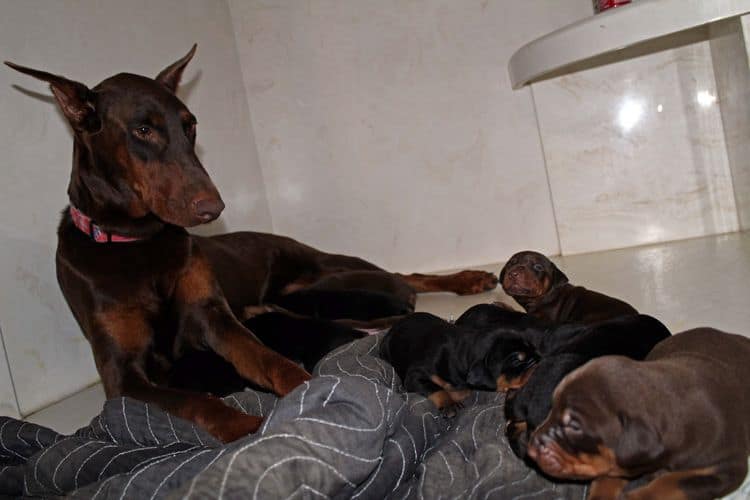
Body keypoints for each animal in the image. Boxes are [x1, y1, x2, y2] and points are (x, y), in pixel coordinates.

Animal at [382, 312, 540, 414]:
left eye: (533, 349)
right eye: (517, 360)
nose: (539, 360)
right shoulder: (415, 375)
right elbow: (435, 388)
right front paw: (449, 404)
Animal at [524, 328, 750, 500]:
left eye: (575, 427)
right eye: (551, 408)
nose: (532, 446)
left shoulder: (726, 468)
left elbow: (673, 483)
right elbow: (606, 477)